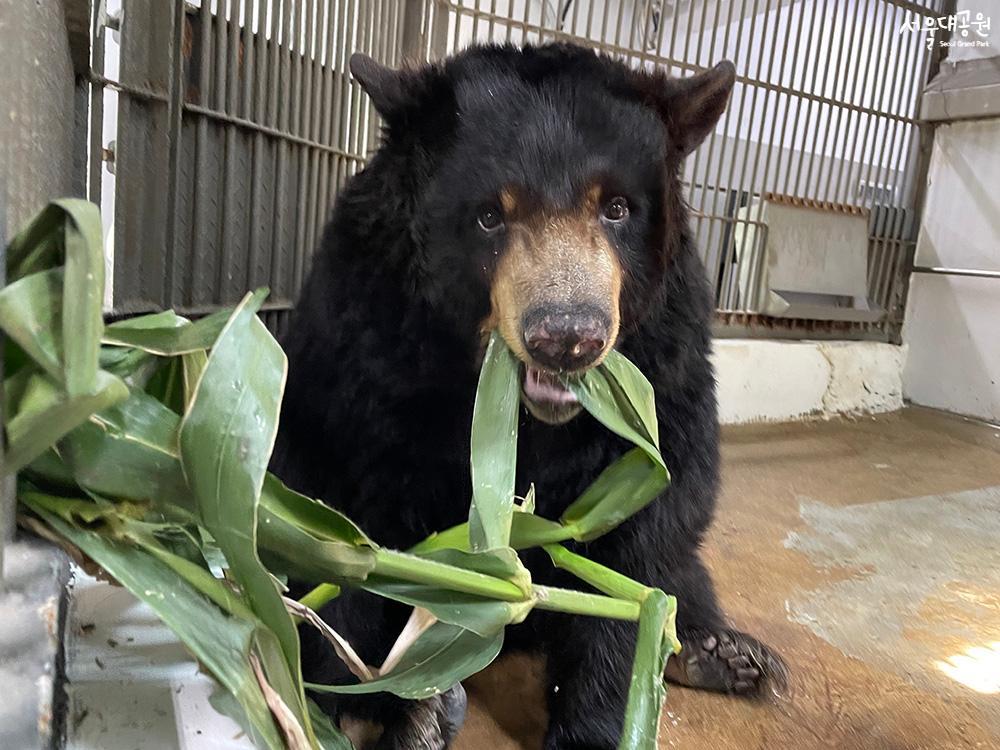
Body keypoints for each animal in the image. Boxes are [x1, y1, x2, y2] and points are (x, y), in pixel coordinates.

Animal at [270, 42, 784, 750]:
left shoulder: (665, 355)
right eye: (491, 215)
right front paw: (397, 704)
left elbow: (648, 520)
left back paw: (718, 651)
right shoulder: (367, 341)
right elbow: (342, 517)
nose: (566, 337)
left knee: (681, 564)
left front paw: (599, 721)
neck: (523, 412)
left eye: (616, 207)